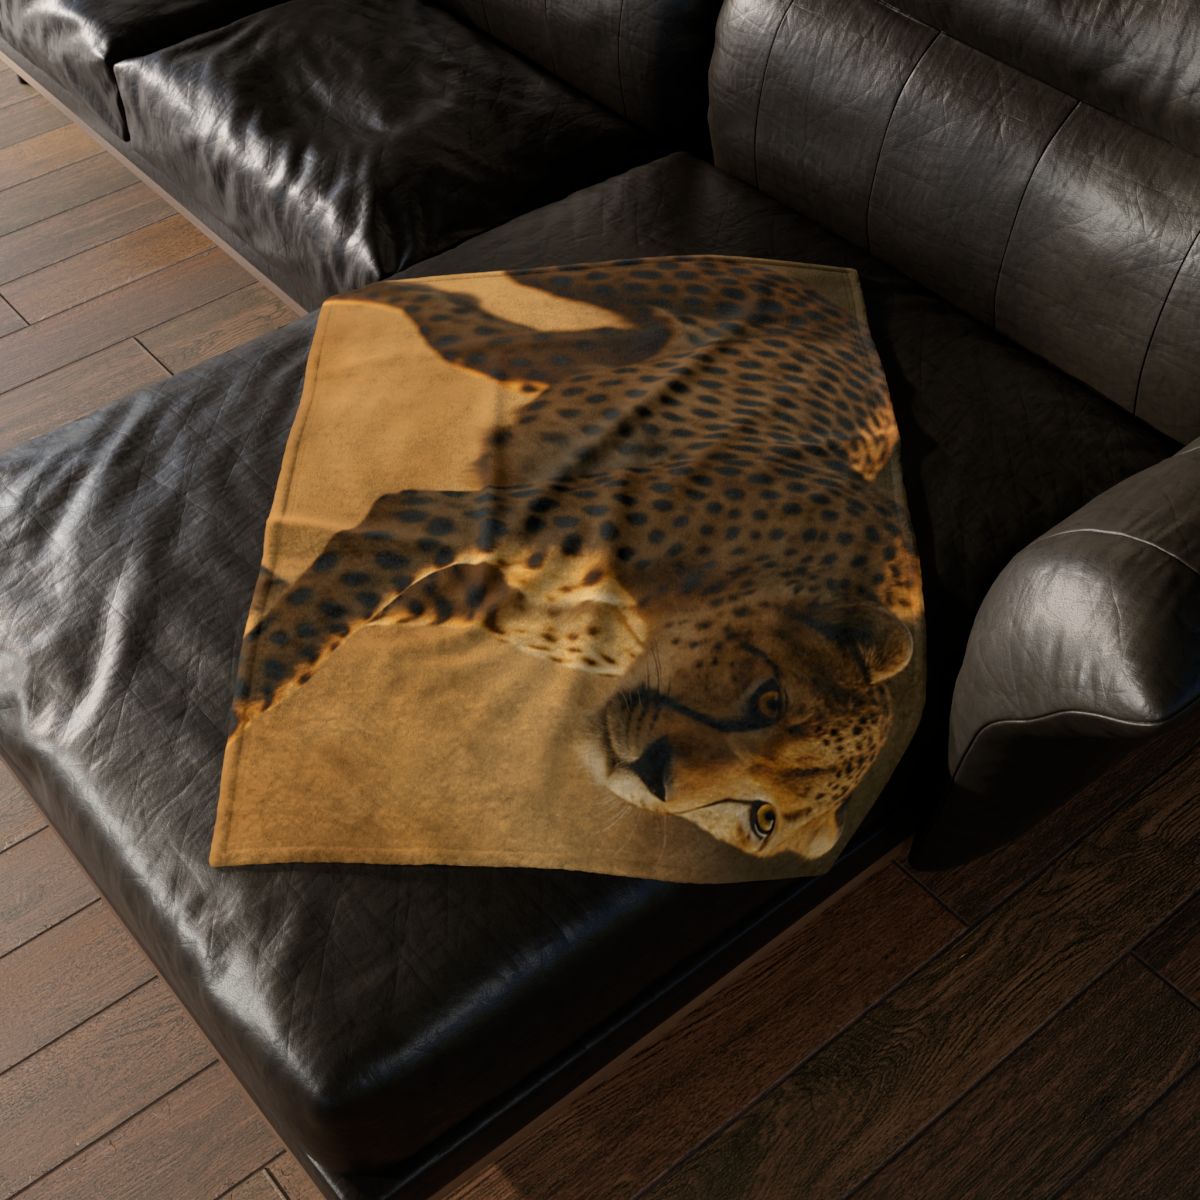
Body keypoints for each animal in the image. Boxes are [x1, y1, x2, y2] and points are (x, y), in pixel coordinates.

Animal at [233, 256, 923, 861]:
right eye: (770, 701)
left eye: (764, 818)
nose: (653, 776)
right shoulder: (462, 518)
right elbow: (326, 610)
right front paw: (244, 708)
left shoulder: (483, 596)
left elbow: (350, 603)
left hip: (545, 356)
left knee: (458, 309)